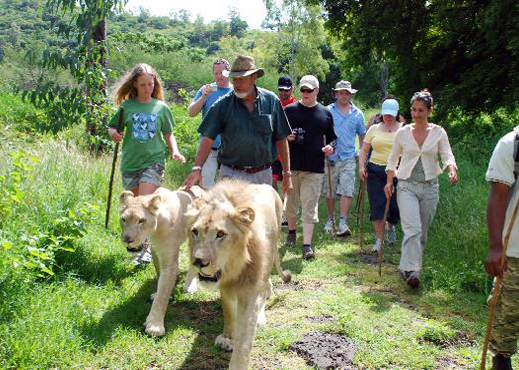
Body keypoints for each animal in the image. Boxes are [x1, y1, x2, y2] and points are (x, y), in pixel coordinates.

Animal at [120, 186, 203, 336]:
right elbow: (160, 277)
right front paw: (160, 293)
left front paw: (155, 325)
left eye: (141, 220)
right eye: (123, 220)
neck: (155, 231)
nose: (127, 240)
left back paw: (190, 286)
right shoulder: (155, 250)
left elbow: (162, 294)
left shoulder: (170, 261)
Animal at [186, 178, 292, 368]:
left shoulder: (250, 290)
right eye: (195, 231)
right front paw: (227, 338)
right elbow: (228, 311)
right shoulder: (225, 287)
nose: (198, 262)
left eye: (221, 234)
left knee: (265, 287)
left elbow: (244, 338)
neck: (234, 269)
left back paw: (261, 315)